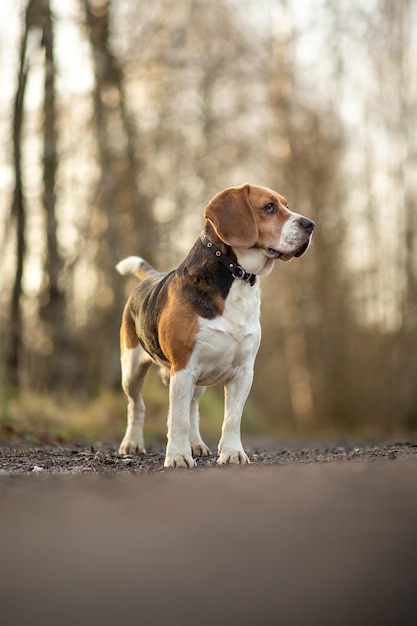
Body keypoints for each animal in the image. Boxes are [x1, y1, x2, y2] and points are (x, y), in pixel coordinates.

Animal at [115, 183, 314, 466]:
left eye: (287, 205)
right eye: (269, 207)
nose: (311, 224)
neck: (236, 276)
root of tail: (150, 276)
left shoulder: (243, 372)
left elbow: (231, 419)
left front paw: (232, 453)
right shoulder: (183, 368)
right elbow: (177, 420)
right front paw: (178, 456)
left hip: (197, 381)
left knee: (193, 409)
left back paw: (196, 444)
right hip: (131, 370)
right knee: (137, 405)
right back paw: (132, 443)